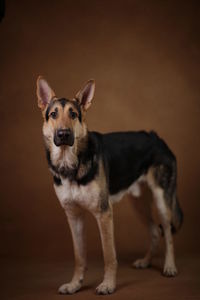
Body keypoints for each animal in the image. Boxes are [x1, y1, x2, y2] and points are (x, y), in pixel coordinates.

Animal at [36, 76, 183, 294]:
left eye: (73, 114)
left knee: (167, 231)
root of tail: (156, 137)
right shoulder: (74, 216)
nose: (63, 134)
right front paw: (75, 284)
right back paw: (146, 261)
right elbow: (79, 256)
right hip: (139, 203)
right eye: (53, 114)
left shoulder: (103, 214)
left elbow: (109, 255)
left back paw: (170, 266)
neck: (70, 163)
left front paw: (108, 285)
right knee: (155, 231)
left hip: (162, 200)